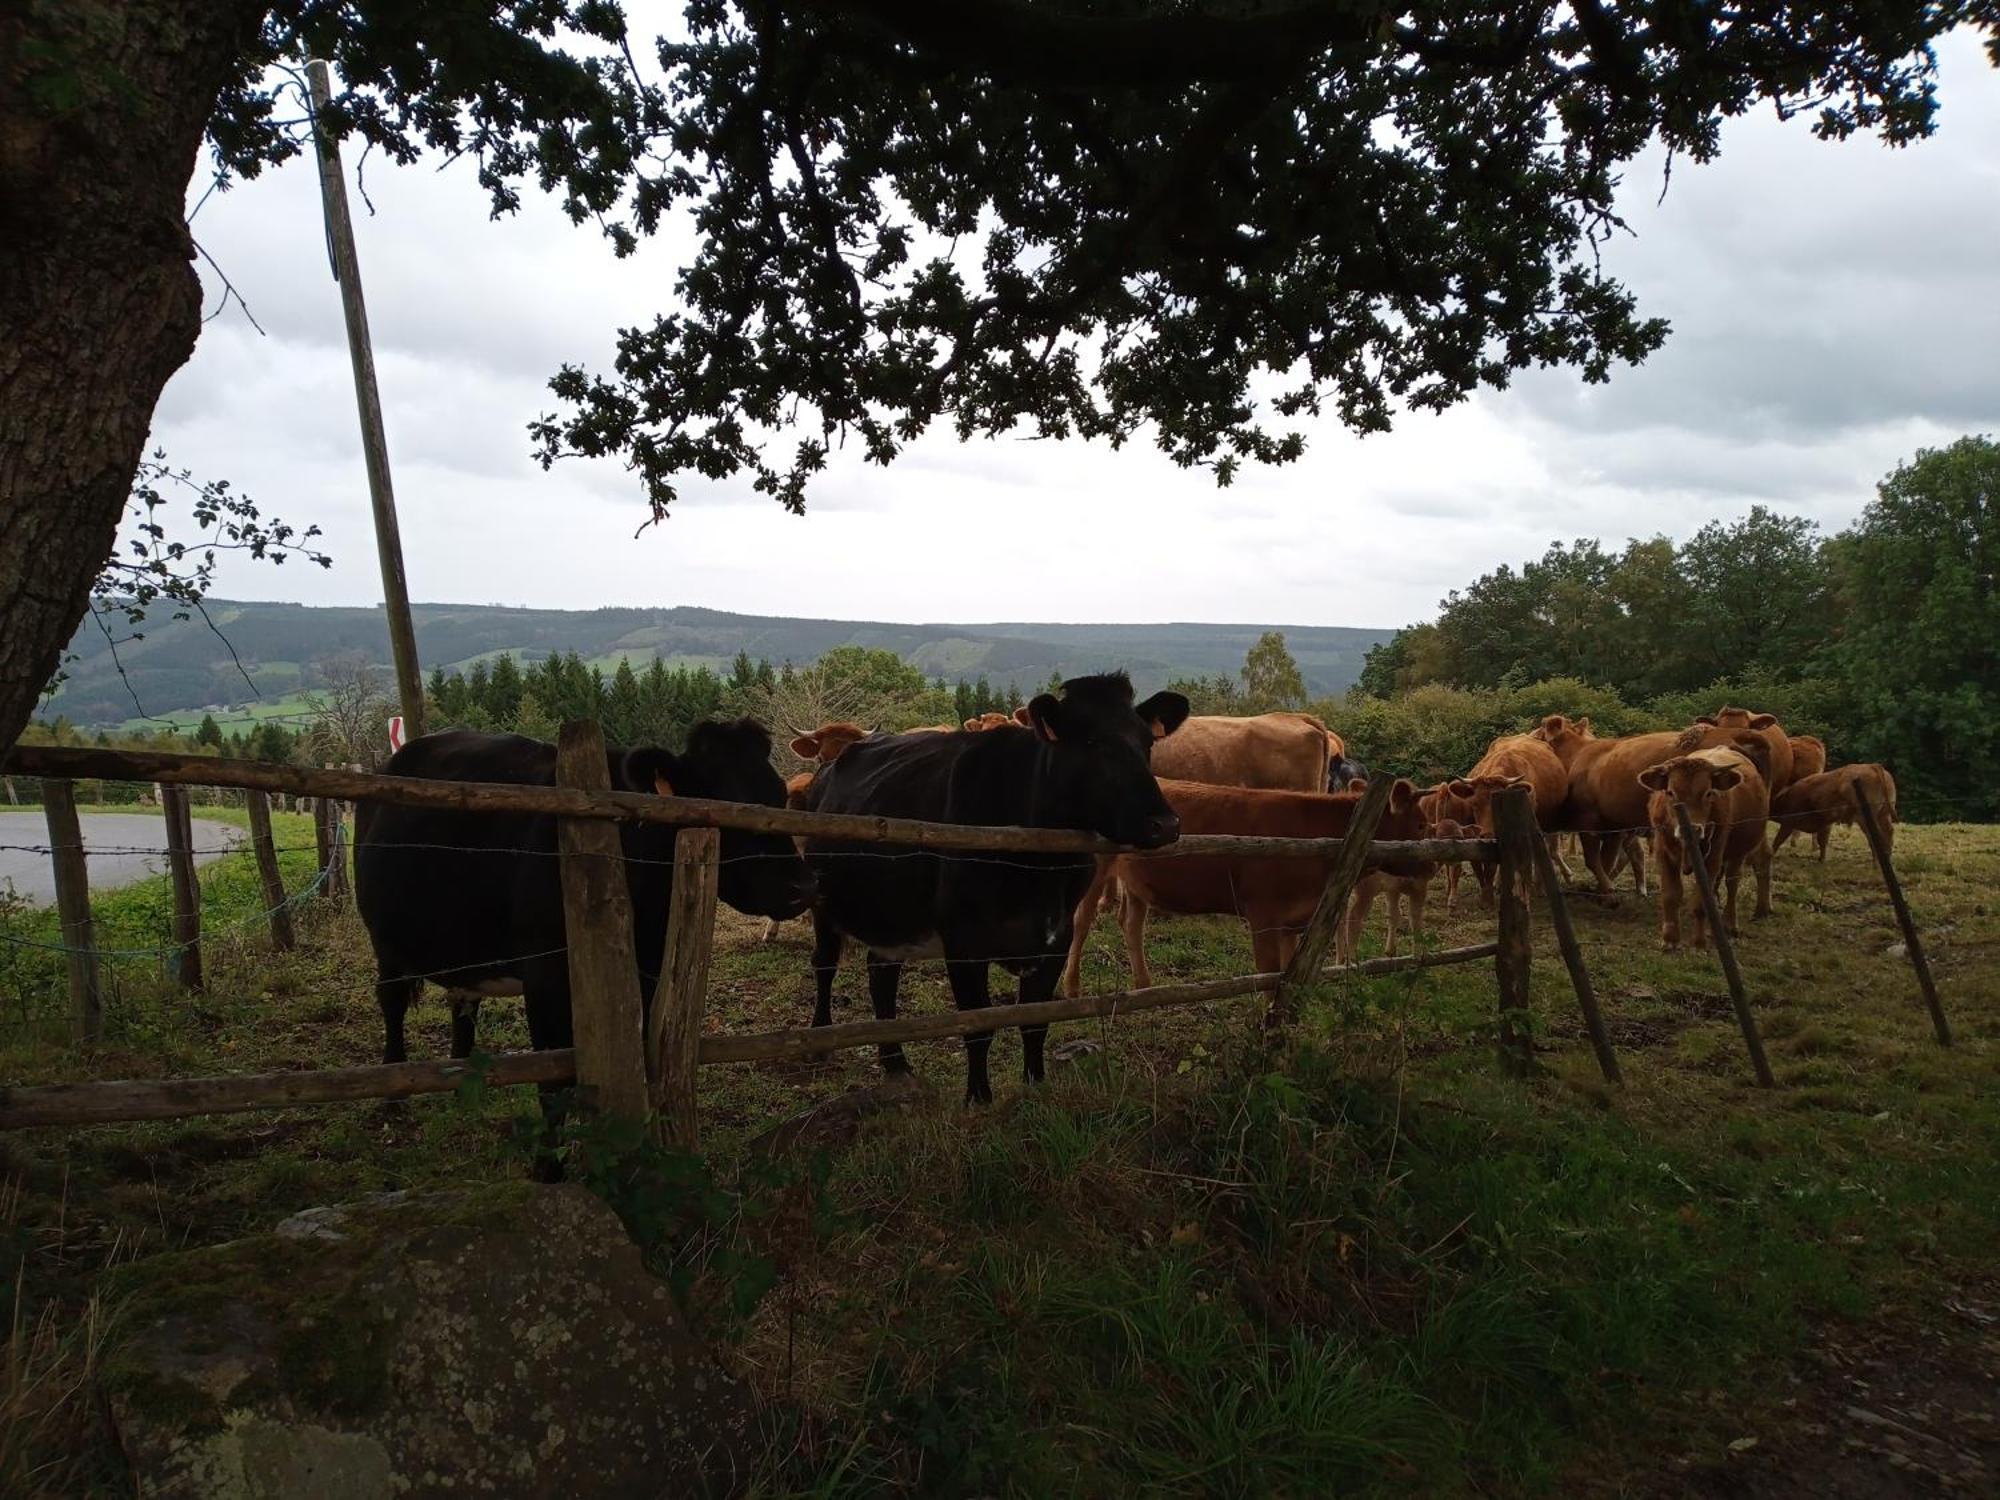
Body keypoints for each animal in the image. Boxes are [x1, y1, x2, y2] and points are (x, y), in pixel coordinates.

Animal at [354, 724, 812, 1072]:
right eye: (720, 803)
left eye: (779, 796)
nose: (800, 887)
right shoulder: (544, 978)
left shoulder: (649, 968)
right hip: (385, 942)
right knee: (391, 1002)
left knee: (463, 1002)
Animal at [808, 676, 1192, 1112]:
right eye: (1091, 742)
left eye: (1147, 742)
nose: (1165, 823)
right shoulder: (964, 941)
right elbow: (978, 1025)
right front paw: (978, 1098)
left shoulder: (1056, 937)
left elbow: (1034, 1020)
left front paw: (1036, 1086)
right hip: (821, 898)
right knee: (825, 964)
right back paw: (821, 1040)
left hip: (891, 911)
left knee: (881, 973)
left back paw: (896, 1063)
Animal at [1632, 744, 1776, 952]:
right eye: (1670, 792)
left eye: (1708, 793)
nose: (1691, 828)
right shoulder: (1664, 854)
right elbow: (1670, 896)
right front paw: (1670, 939)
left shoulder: (1712, 858)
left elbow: (1701, 901)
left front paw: (1699, 942)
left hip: (1738, 853)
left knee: (1732, 883)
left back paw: (1729, 924)